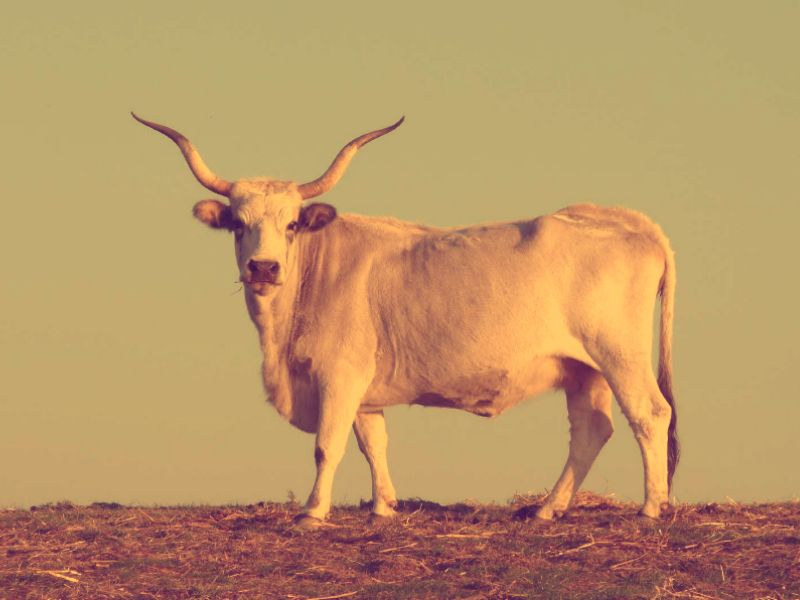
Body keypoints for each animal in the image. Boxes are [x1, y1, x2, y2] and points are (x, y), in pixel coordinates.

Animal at [133, 112, 678, 530]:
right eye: (239, 225)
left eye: (290, 224)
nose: (263, 268)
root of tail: (624, 219)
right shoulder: (364, 388)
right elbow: (373, 443)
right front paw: (384, 507)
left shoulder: (339, 375)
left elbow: (327, 445)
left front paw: (312, 512)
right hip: (584, 369)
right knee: (591, 430)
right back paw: (547, 508)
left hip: (618, 353)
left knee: (650, 414)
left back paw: (651, 509)